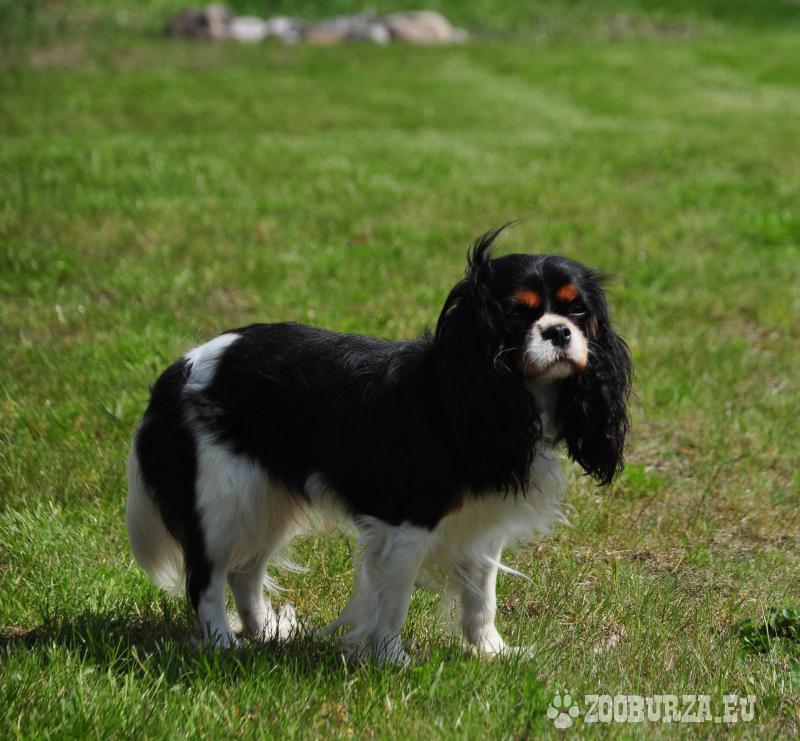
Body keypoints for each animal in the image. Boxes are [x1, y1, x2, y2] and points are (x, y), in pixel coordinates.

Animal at [126, 225, 632, 664]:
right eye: (517, 314)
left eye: (578, 312)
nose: (559, 332)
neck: (475, 392)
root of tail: (179, 370)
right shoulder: (407, 523)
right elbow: (394, 601)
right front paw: (391, 660)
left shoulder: (480, 525)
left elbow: (481, 597)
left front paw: (492, 652)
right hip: (223, 502)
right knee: (206, 578)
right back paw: (222, 644)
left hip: (266, 497)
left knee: (244, 572)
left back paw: (266, 632)